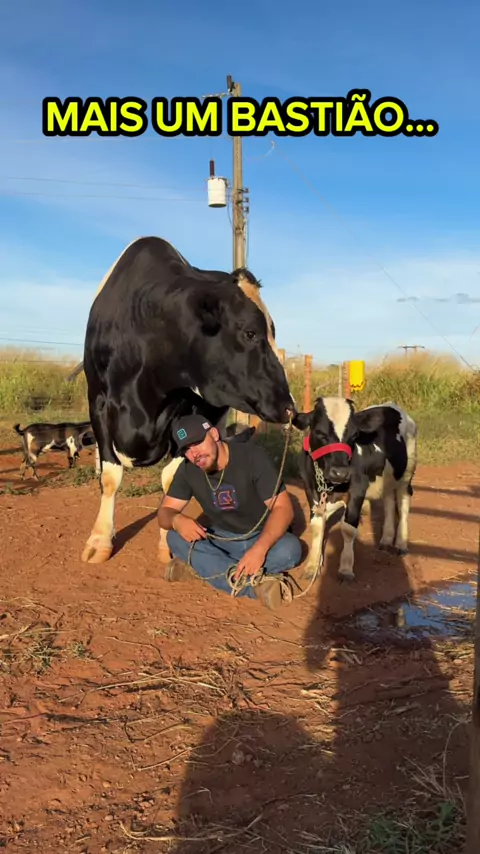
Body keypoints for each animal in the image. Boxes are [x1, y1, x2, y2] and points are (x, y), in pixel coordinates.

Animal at [80, 236, 296, 564]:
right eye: (250, 332)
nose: (289, 406)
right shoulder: (99, 401)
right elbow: (110, 477)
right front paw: (99, 540)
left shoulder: (194, 410)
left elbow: (173, 478)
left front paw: (167, 542)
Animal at [292, 397, 418, 581]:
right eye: (319, 432)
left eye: (354, 435)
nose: (340, 472)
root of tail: (391, 405)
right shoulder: (310, 490)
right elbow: (316, 526)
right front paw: (312, 567)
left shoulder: (358, 490)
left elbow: (348, 529)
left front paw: (345, 568)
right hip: (386, 479)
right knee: (388, 502)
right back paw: (386, 540)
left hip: (406, 474)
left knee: (403, 504)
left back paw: (400, 543)